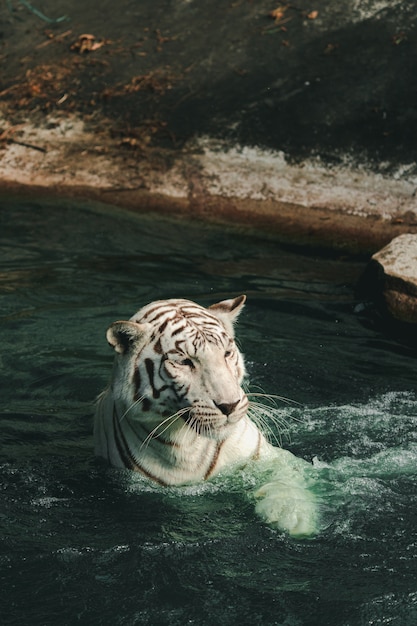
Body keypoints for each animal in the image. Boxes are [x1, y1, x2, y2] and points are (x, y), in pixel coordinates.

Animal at [93, 294, 316, 532]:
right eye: (184, 362)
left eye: (227, 353)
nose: (230, 405)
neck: (189, 442)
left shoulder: (267, 458)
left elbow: (286, 480)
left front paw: (295, 517)